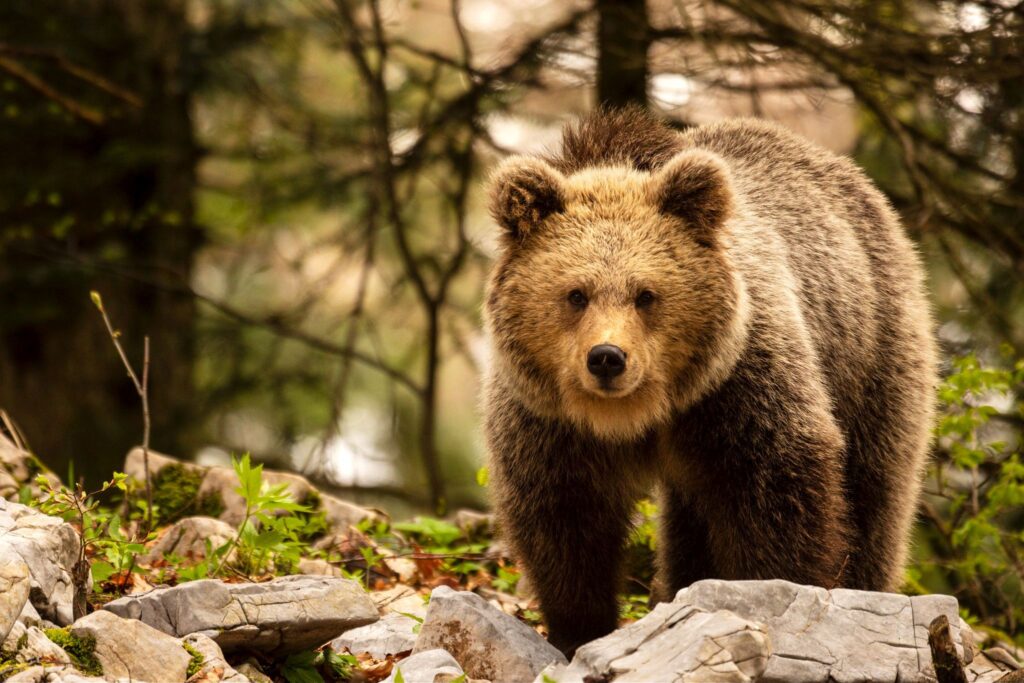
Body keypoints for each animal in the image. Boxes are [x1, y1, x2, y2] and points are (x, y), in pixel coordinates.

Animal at [483, 108, 937, 655]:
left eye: (646, 294)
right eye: (576, 294)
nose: (608, 358)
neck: (637, 415)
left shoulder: (736, 388)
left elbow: (776, 486)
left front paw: (778, 592)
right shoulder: (548, 418)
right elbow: (565, 519)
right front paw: (579, 630)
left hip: (870, 348)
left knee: (876, 489)